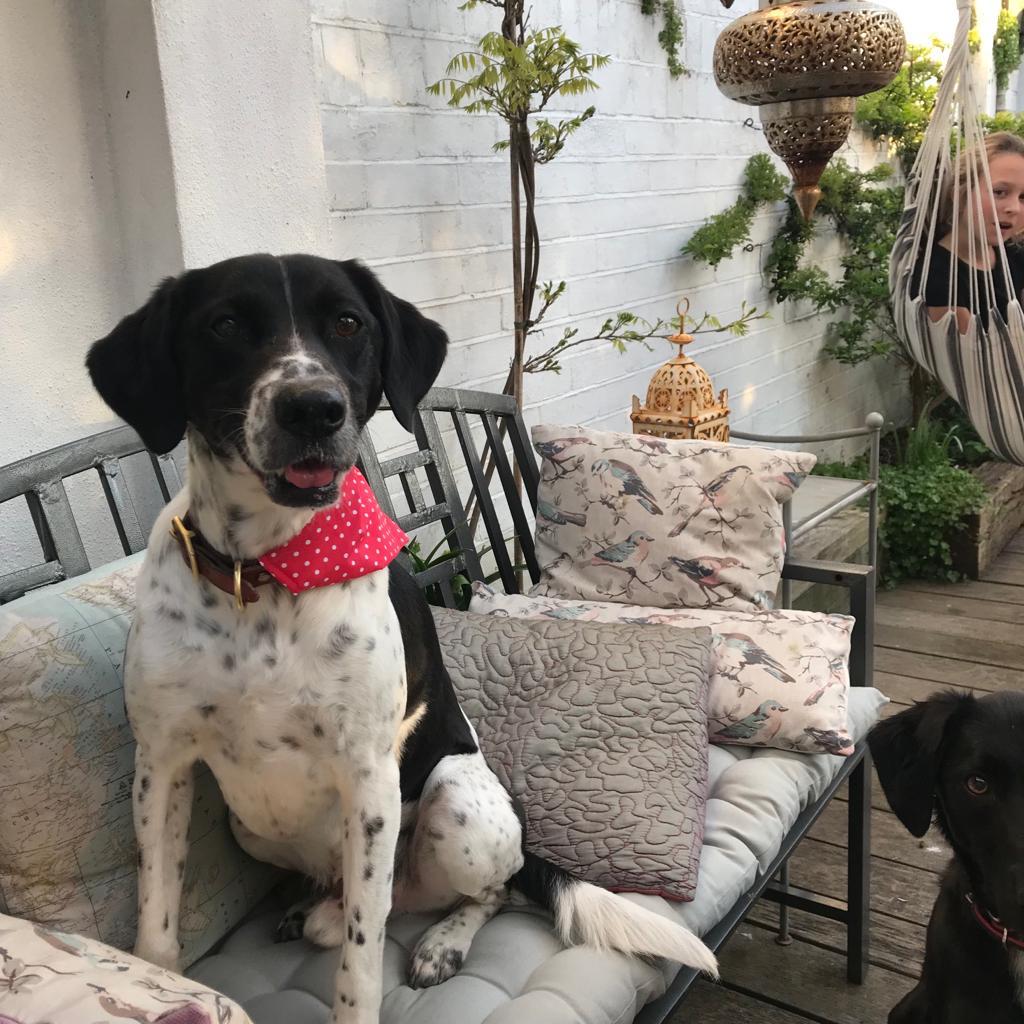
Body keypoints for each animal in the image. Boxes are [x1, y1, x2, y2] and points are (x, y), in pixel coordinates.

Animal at [86, 249, 712, 1024]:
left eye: (348, 323)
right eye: (224, 325)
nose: (313, 408)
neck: (267, 571)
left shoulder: (367, 776)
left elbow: (362, 960)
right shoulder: (163, 765)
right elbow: (156, 922)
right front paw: (160, 979)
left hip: (455, 802)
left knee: (480, 893)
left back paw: (441, 940)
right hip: (251, 826)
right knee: (355, 900)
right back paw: (316, 911)